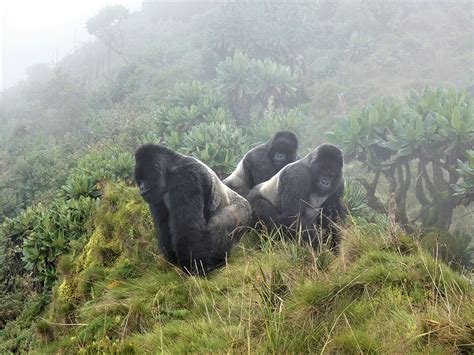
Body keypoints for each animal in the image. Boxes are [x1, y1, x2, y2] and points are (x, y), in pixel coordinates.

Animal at [133, 143, 252, 274]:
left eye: (145, 179)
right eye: (139, 181)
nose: (141, 189)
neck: (169, 170)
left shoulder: (185, 176)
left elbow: (188, 229)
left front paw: (193, 267)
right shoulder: (156, 196)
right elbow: (163, 226)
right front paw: (172, 259)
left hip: (243, 212)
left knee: (219, 224)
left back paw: (216, 261)